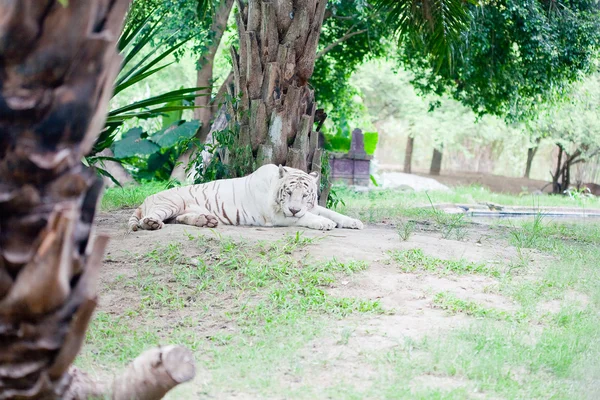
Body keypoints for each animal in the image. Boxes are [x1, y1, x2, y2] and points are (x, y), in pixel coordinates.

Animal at [128, 162, 364, 231]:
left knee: (178, 219)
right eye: (288, 193)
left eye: (306, 195)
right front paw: (324, 223)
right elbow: (307, 217)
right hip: (170, 203)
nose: (294, 208)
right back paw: (151, 223)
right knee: (149, 218)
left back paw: (206, 220)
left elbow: (331, 212)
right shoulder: (277, 216)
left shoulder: (310, 207)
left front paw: (354, 222)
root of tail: (145, 199)